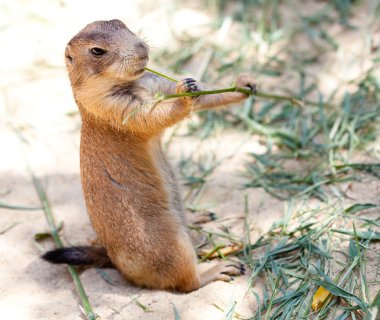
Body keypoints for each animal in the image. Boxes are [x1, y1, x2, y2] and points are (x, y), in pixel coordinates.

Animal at [43, 18, 256, 292]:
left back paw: (198, 217)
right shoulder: (113, 107)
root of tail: (114, 261)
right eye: (97, 51)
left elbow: (201, 93)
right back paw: (219, 268)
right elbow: (150, 115)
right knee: (188, 281)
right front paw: (184, 94)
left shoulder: (154, 80)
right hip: (168, 243)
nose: (142, 47)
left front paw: (244, 84)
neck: (133, 82)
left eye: (121, 23)